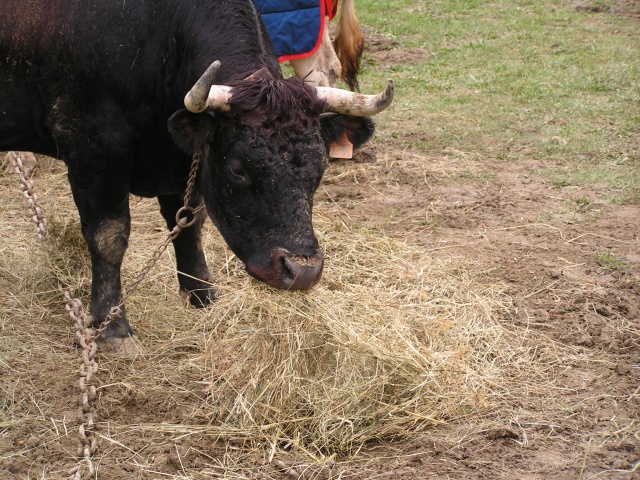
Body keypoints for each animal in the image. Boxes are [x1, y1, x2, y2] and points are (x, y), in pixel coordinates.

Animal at [0, 0, 392, 352]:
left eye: (321, 165)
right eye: (237, 168)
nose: (302, 271)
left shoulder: (183, 159)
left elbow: (190, 224)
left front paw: (203, 295)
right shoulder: (93, 147)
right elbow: (108, 237)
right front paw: (114, 328)